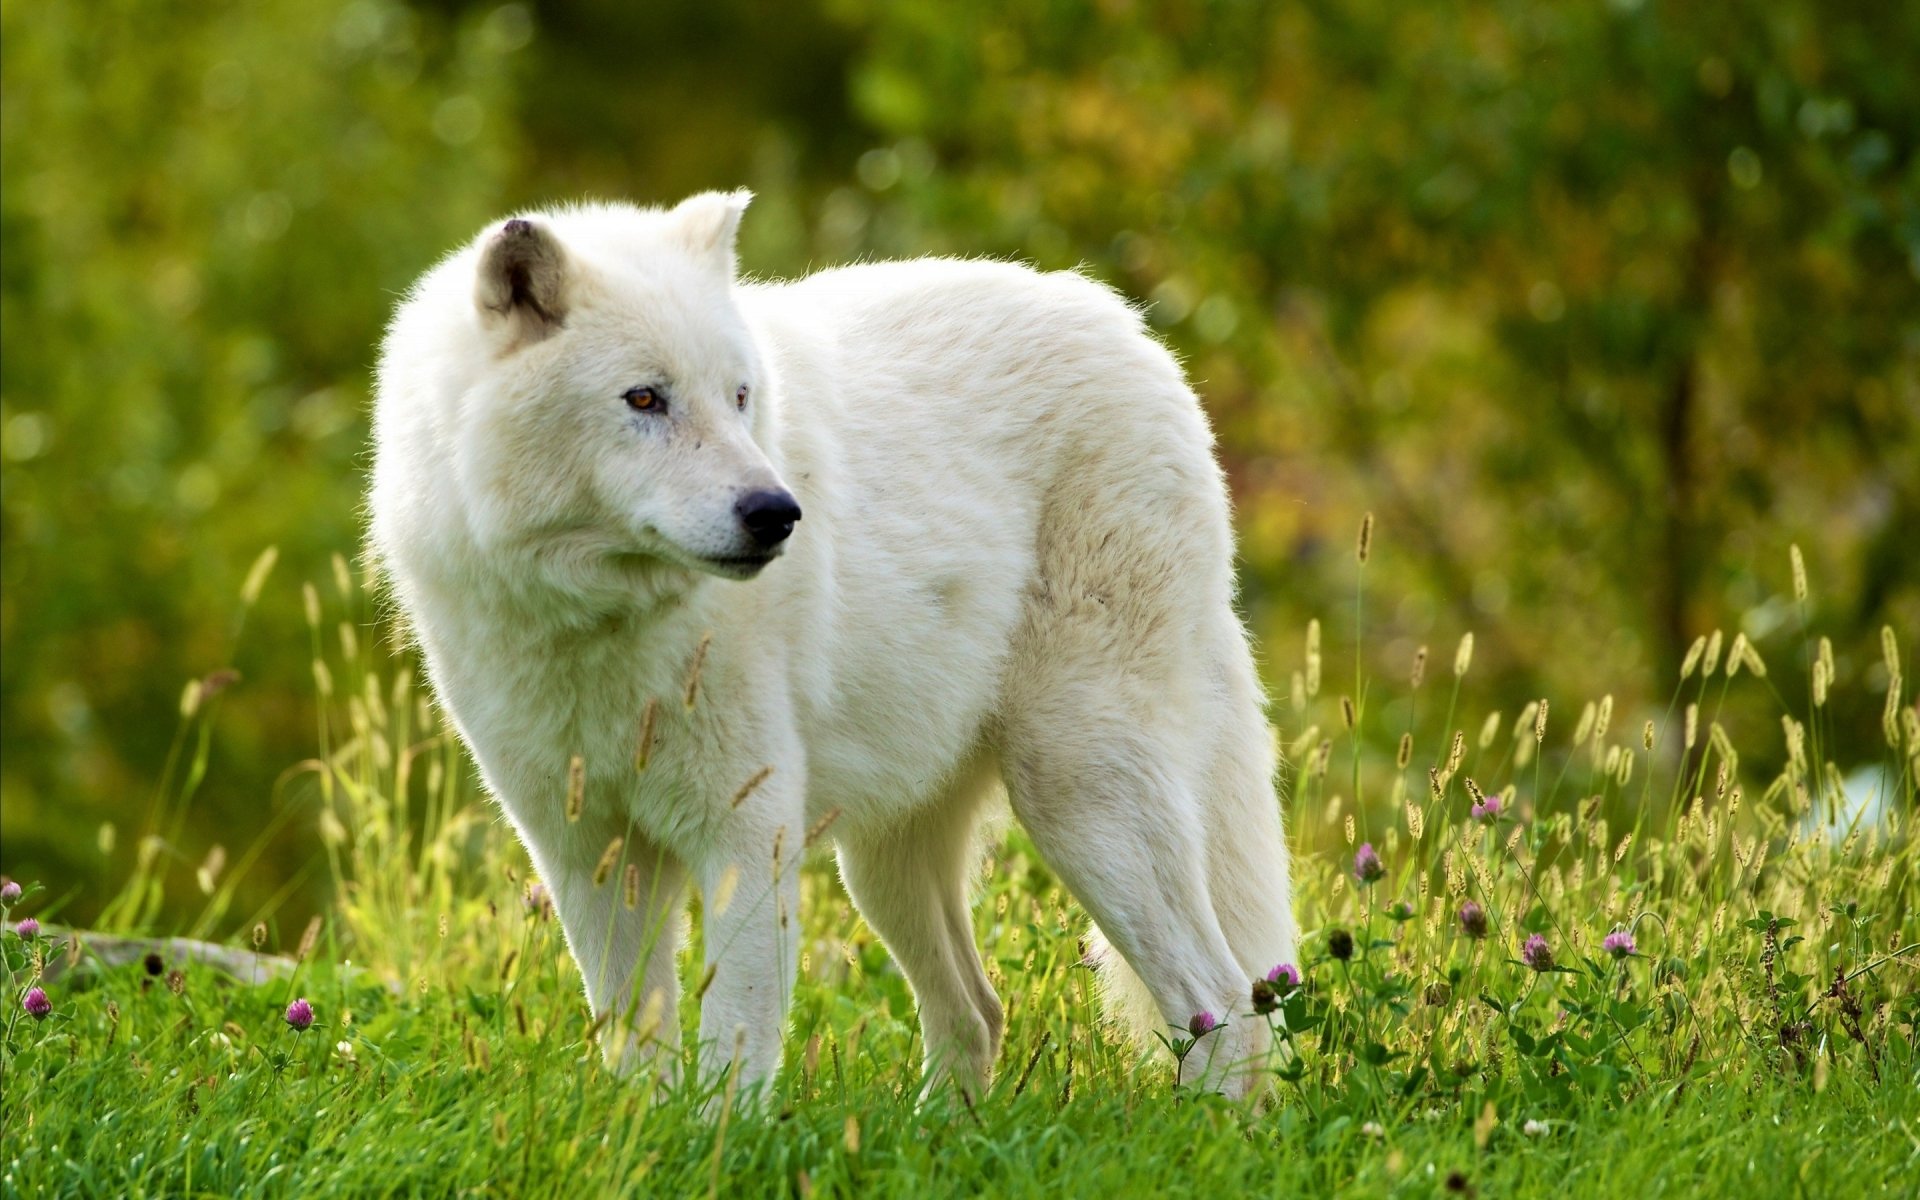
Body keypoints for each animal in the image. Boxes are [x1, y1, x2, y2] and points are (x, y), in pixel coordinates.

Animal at [369, 191, 1296, 1099]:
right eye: (644, 399)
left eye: (740, 396)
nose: (776, 512)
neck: (599, 626)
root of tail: (1137, 336)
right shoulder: (587, 854)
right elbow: (635, 1048)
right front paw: (639, 1133)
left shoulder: (747, 836)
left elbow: (732, 1056)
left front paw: (715, 1139)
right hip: (883, 861)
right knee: (978, 1012)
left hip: (1078, 795)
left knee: (1224, 1004)